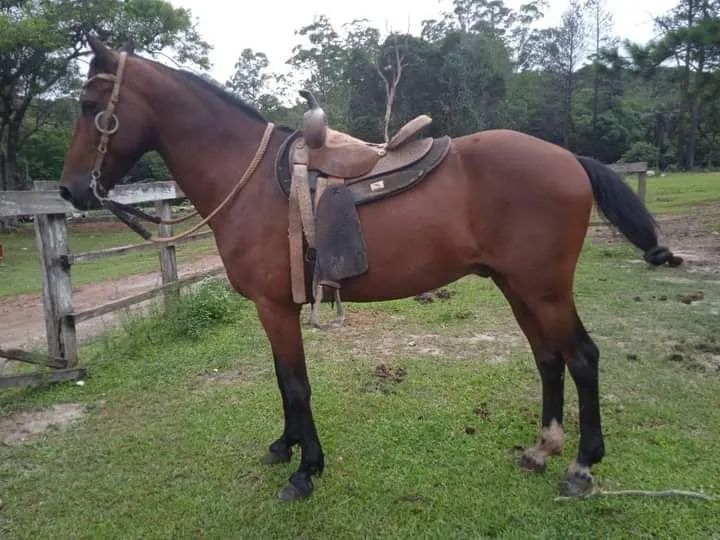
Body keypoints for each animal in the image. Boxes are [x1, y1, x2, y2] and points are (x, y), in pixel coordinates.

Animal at [59, 37, 681, 501]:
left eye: (91, 107)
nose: (69, 190)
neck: (249, 179)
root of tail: (568, 157)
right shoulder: (275, 310)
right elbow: (283, 381)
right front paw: (284, 447)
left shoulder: (275, 308)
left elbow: (296, 384)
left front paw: (305, 470)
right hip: (516, 285)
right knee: (548, 358)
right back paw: (541, 451)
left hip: (545, 288)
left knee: (582, 358)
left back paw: (582, 466)